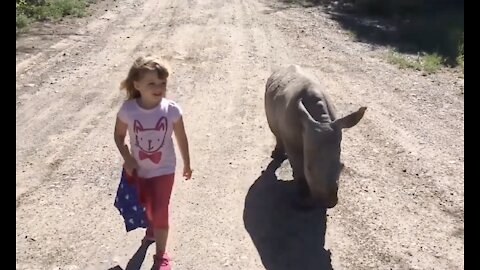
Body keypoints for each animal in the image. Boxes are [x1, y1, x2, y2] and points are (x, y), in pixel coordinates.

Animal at [264, 65, 366, 209]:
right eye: (309, 168)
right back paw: (277, 155)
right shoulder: (292, 141)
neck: (321, 121)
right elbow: (298, 167)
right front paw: (304, 201)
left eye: (342, 166)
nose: (330, 202)